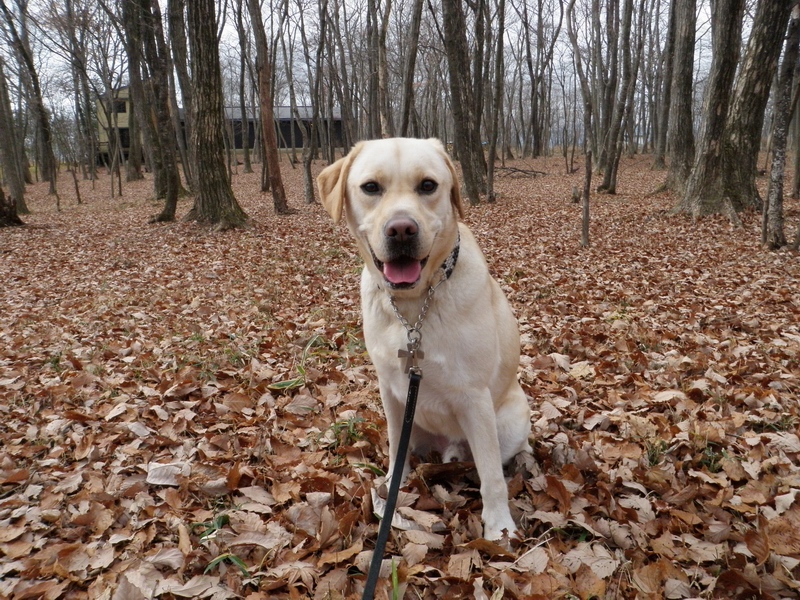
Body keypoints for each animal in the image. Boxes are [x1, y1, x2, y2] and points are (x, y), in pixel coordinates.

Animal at [317, 138, 532, 540]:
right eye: (371, 187)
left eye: (428, 186)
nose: (402, 229)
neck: (413, 306)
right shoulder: (390, 390)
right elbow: (393, 450)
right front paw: (391, 485)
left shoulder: (474, 398)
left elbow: (492, 476)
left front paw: (499, 527)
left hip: (510, 419)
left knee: (502, 455)